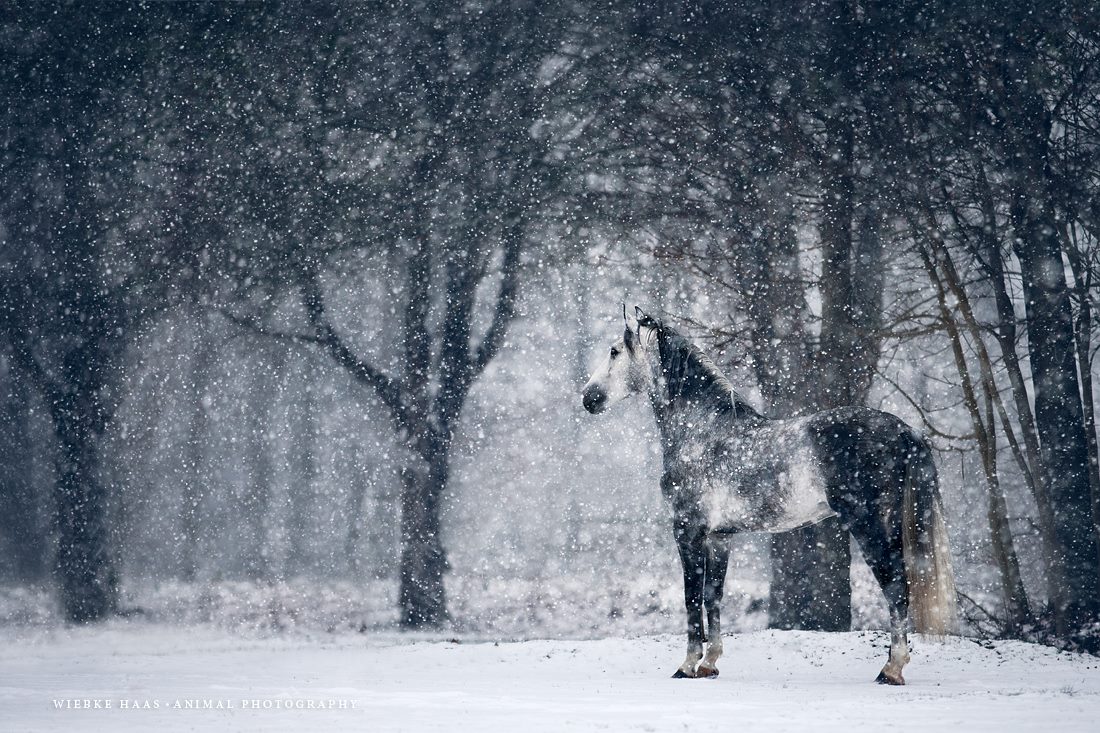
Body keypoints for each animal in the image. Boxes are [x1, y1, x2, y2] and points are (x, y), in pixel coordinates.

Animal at [585, 305, 954, 682]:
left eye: (614, 352)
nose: (588, 398)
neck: (701, 431)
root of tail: (905, 431)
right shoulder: (719, 537)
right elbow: (713, 596)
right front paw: (709, 663)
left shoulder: (688, 532)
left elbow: (691, 598)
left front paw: (687, 665)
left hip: (869, 526)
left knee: (896, 588)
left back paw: (891, 669)